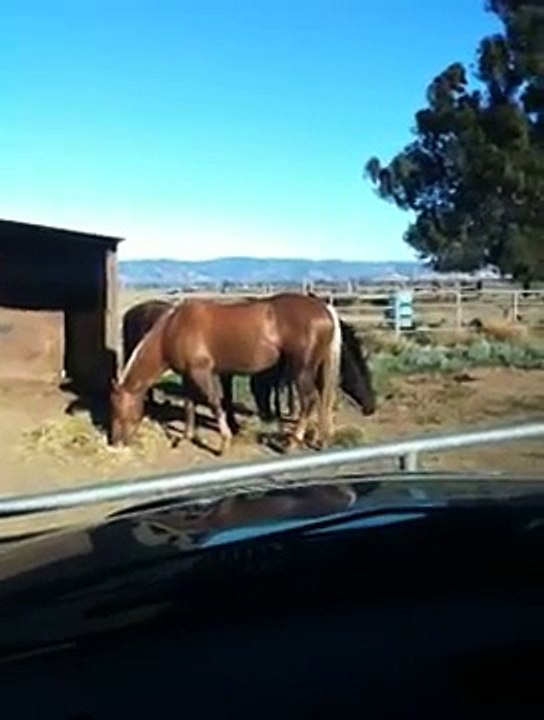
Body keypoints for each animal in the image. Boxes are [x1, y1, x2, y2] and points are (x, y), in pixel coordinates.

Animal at [110, 292, 343, 454]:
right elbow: (189, 405)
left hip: (301, 370)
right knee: (322, 397)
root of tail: (324, 308)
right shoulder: (188, 375)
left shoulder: (202, 373)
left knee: (309, 401)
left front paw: (224, 441)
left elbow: (214, 403)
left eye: (118, 411)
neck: (172, 330)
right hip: (317, 368)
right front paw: (186, 437)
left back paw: (293, 443)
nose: (115, 442)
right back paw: (321, 439)